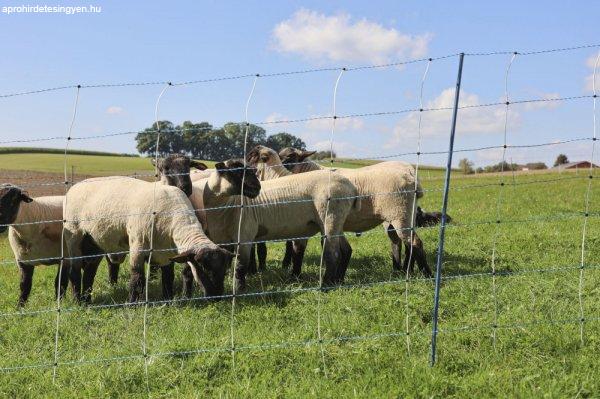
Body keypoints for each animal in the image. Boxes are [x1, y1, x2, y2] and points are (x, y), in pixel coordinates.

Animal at [63, 178, 232, 304]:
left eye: (224, 269)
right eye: (203, 267)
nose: (217, 296)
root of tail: (74, 186)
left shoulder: (165, 253)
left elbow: (168, 277)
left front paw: (168, 299)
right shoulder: (137, 244)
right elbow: (137, 279)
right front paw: (131, 304)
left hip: (94, 242)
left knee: (90, 272)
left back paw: (87, 300)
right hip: (74, 235)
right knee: (74, 271)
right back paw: (78, 301)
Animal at [188, 159, 358, 290]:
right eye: (235, 172)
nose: (257, 187)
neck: (227, 205)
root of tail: (351, 186)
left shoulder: (244, 236)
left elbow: (240, 267)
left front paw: (239, 289)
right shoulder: (222, 240)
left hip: (330, 216)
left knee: (332, 253)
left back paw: (327, 284)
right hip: (336, 220)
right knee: (345, 249)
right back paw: (339, 280)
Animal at [247, 145, 432, 280]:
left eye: (290, 157)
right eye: (281, 155)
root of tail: (411, 174)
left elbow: (303, 248)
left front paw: (295, 273)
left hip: (399, 212)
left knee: (413, 242)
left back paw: (424, 274)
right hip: (400, 215)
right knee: (400, 243)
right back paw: (402, 271)